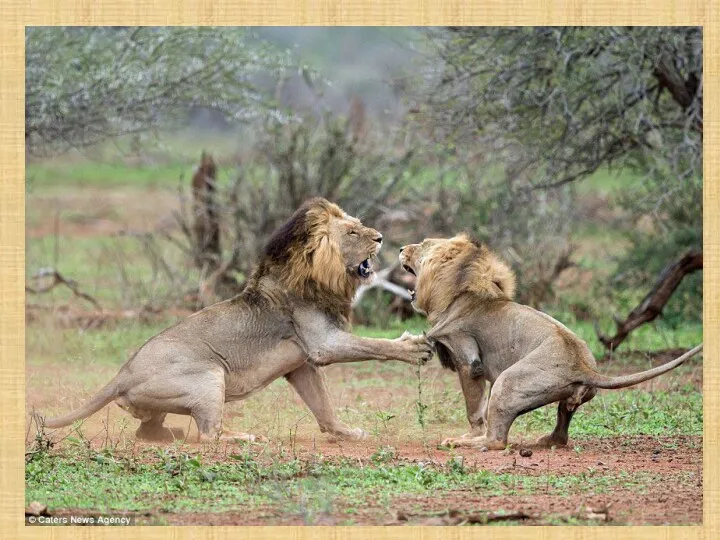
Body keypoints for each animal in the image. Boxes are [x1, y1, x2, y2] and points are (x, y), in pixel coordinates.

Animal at [45, 198, 430, 442]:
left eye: (361, 226)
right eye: (352, 233)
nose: (380, 237)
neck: (317, 276)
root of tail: (121, 374)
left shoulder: (302, 364)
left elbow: (323, 407)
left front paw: (347, 433)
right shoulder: (323, 344)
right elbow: (373, 344)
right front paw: (413, 348)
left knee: (147, 432)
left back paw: (169, 434)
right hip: (209, 375)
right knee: (208, 434)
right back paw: (243, 436)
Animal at [396, 234, 700, 450]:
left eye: (422, 245)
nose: (400, 248)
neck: (457, 290)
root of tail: (583, 367)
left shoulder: (467, 359)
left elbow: (474, 409)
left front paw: (467, 434)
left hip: (507, 382)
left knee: (497, 441)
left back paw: (464, 444)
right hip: (567, 397)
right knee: (562, 428)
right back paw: (546, 441)